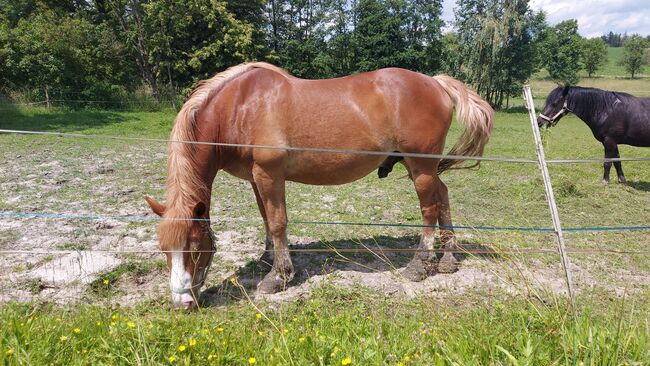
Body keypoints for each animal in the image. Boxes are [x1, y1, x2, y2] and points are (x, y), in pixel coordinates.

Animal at [146, 63, 492, 308]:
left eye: (194, 247)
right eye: (164, 249)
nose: (181, 303)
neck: (239, 107)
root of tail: (435, 82)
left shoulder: (270, 175)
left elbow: (277, 222)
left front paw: (279, 276)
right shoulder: (257, 178)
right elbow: (266, 220)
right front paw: (269, 260)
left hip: (420, 167)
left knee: (429, 208)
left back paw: (420, 265)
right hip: (421, 167)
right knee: (443, 196)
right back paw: (448, 259)